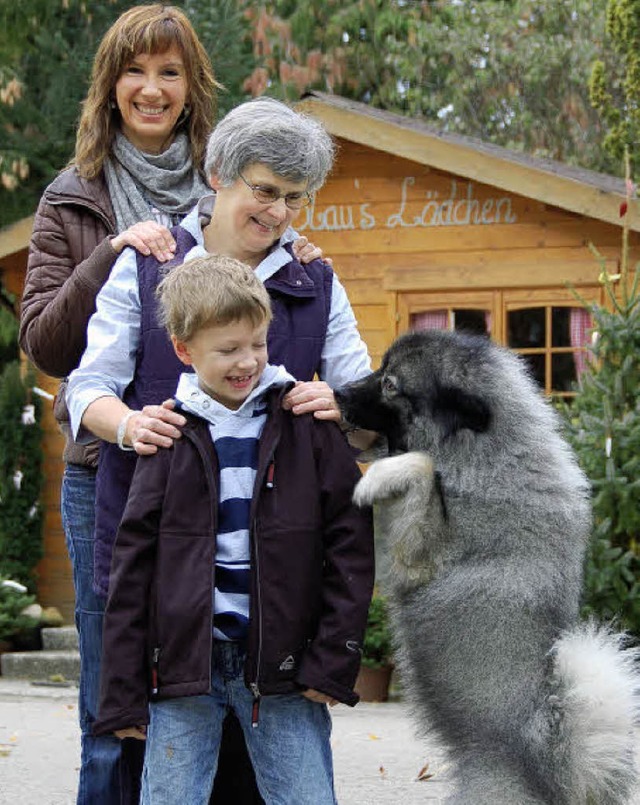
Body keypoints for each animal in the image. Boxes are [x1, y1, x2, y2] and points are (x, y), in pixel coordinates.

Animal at [338, 328, 636, 804]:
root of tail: (551, 774)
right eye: (379, 370)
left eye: (390, 384)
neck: (485, 454)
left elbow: (422, 467)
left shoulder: (417, 555)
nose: (337, 391)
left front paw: (378, 478)